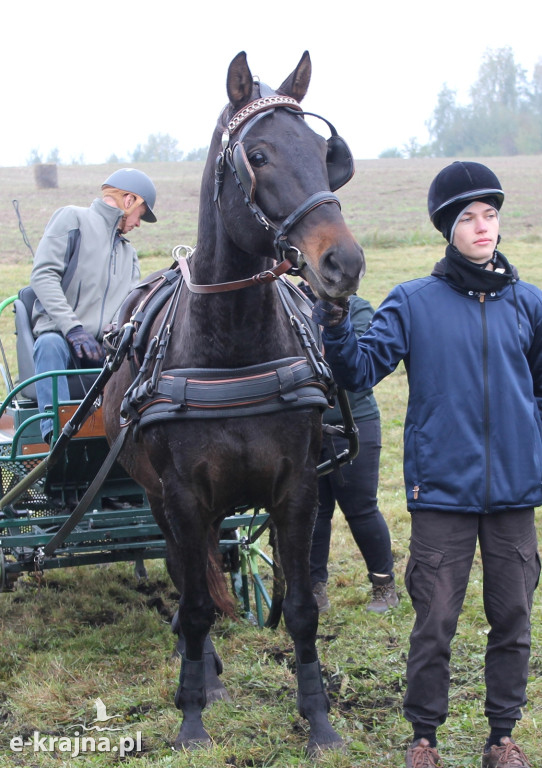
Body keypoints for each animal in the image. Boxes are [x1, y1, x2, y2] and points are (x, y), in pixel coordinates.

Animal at [102, 51, 366, 752]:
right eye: (260, 155)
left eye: (324, 153)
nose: (345, 262)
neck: (235, 343)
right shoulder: (185, 495)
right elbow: (194, 605)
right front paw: (193, 717)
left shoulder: (297, 487)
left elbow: (300, 609)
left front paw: (319, 721)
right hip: (159, 500)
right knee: (181, 573)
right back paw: (202, 676)